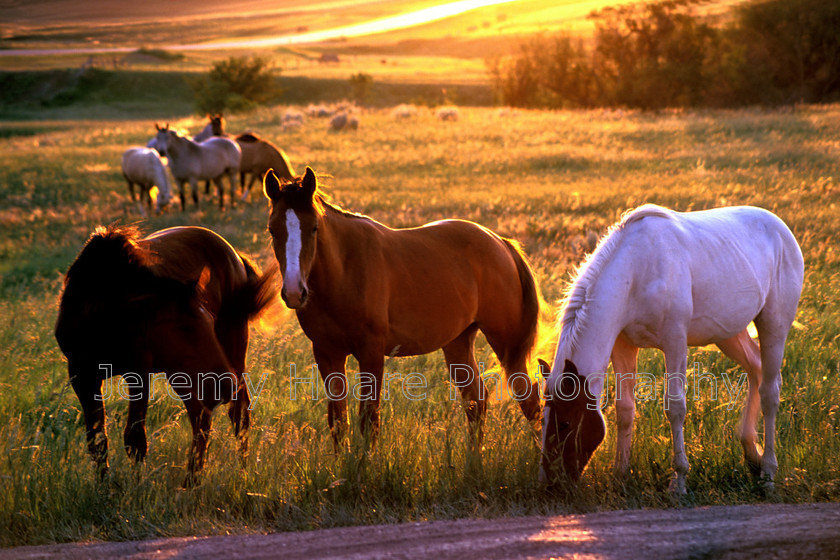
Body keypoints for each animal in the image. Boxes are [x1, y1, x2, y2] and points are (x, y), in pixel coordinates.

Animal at [56, 225, 278, 484]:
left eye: (209, 320)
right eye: (183, 327)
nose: (224, 386)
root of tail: (235, 255)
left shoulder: (138, 371)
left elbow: (135, 439)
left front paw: (136, 487)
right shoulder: (81, 375)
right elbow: (97, 441)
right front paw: (104, 487)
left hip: (230, 350)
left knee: (238, 413)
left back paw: (240, 471)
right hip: (181, 372)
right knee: (201, 414)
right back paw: (193, 478)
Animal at [264, 168, 544, 452]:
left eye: (314, 228)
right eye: (272, 230)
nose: (294, 292)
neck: (344, 270)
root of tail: (500, 242)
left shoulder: (371, 351)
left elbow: (369, 419)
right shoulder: (326, 353)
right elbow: (339, 422)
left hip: (505, 343)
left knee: (528, 398)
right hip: (458, 342)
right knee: (476, 401)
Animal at [540, 203, 804, 492]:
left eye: (565, 423)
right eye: (543, 420)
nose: (551, 482)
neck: (637, 272)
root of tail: (781, 229)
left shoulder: (675, 341)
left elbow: (675, 408)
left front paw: (679, 482)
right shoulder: (622, 346)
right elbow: (624, 409)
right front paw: (620, 475)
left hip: (773, 326)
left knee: (770, 392)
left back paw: (768, 472)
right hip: (729, 333)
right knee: (756, 368)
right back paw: (751, 453)